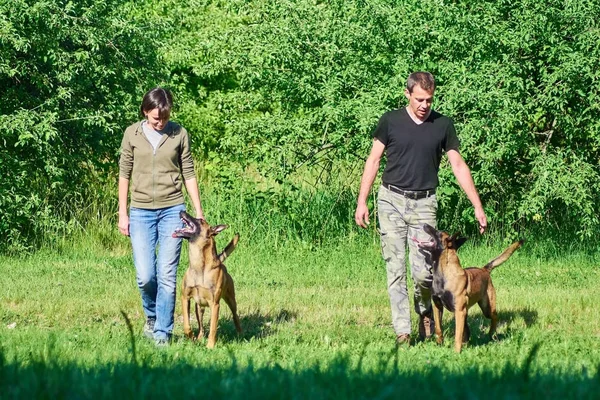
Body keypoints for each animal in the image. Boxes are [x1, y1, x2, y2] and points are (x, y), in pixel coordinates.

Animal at [171, 211, 241, 348]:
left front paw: (210, 346)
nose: (182, 211)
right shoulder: (185, 298)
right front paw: (192, 338)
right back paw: (198, 338)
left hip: (231, 299)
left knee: (235, 315)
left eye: (200, 221)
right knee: (201, 326)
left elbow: (213, 328)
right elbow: (187, 325)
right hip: (199, 307)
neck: (199, 266)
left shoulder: (215, 304)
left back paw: (240, 333)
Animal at [414, 225, 524, 354]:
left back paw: (492, 334)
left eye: (438, 233)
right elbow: (438, 328)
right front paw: (439, 343)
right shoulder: (438, 306)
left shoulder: (459, 311)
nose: (425, 225)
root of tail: (484, 270)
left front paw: (456, 352)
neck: (444, 274)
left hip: (487, 308)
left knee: (495, 317)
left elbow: (457, 335)